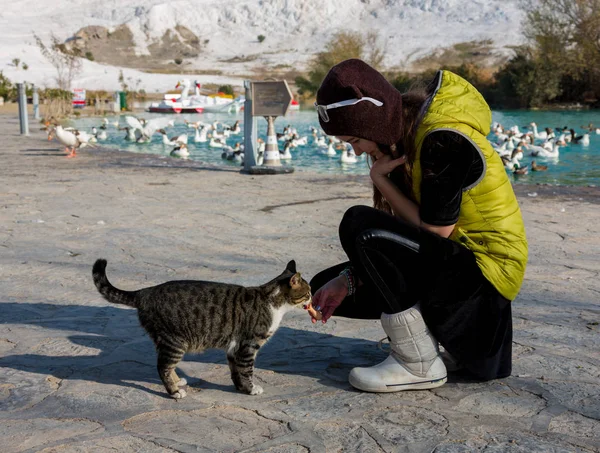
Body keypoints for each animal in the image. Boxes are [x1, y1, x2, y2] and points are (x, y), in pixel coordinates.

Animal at [92, 260, 314, 398]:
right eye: (308, 292)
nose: (312, 299)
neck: (271, 301)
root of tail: (144, 292)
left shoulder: (234, 347)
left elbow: (235, 371)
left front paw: (240, 388)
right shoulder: (248, 346)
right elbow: (247, 371)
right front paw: (251, 389)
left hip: (165, 340)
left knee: (166, 365)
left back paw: (178, 382)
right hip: (175, 341)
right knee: (162, 367)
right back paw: (174, 392)